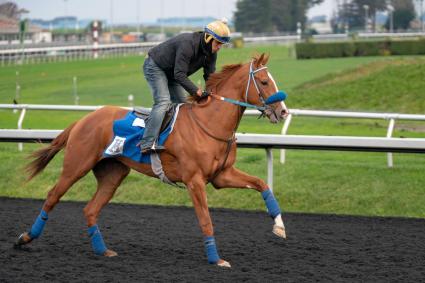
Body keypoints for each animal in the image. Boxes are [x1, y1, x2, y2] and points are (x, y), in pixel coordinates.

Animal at [16, 53, 288, 268]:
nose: (283, 111)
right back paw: (25, 238)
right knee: (53, 196)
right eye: (264, 81)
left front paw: (279, 226)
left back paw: (103, 250)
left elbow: (262, 184)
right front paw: (216, 259)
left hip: (113, 173)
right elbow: (205, 220)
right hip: (76, 165)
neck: (208, 123)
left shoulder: (222, 175)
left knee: (90, 209)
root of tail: (84, 119)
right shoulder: (195, 181)